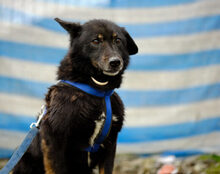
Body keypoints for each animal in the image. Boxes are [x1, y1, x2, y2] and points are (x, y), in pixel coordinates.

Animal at [12, 18, 138, 173]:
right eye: (96, 41)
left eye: (118, 40)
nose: (115, 62)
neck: (97, 90)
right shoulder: (53, 137)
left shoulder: (110, 143)